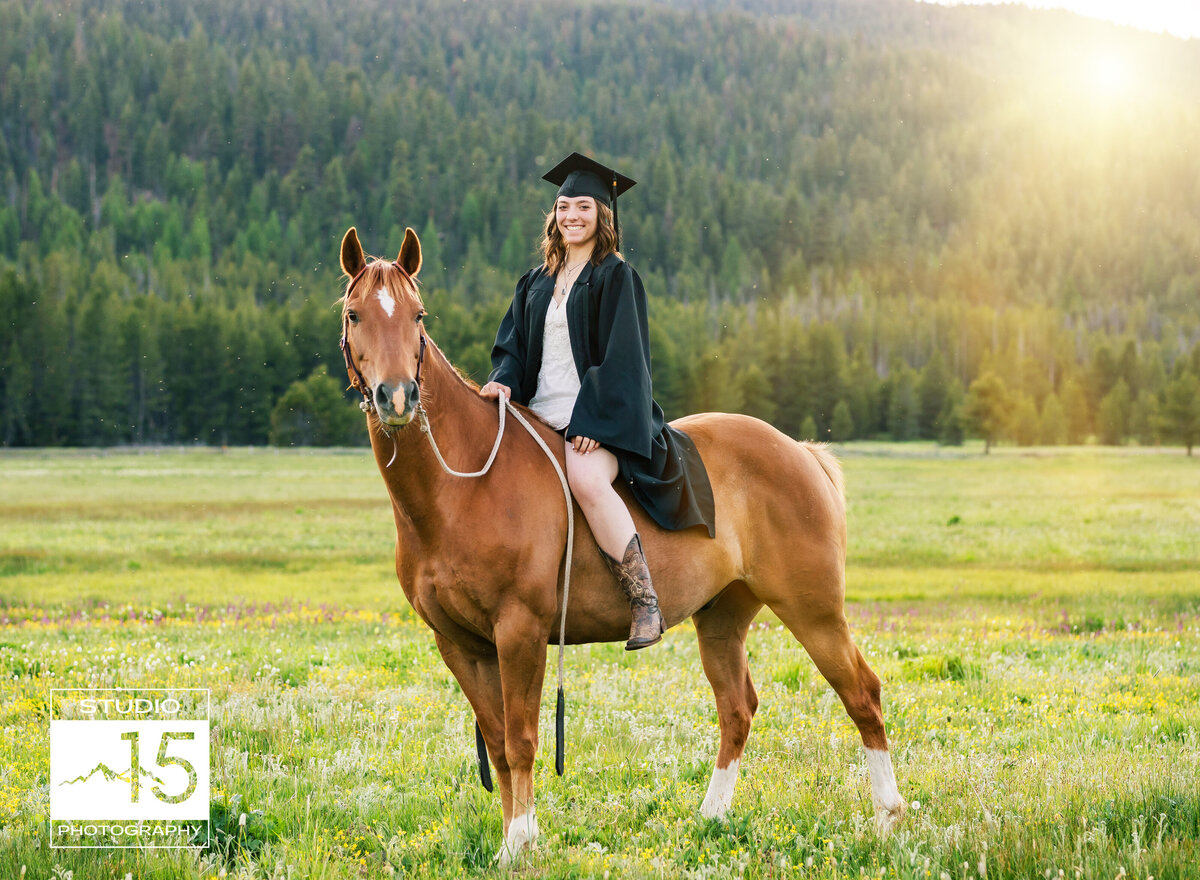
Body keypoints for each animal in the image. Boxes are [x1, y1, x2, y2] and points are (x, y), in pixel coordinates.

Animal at [336, 223, 902, 859]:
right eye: (355, 315)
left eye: (418, 315)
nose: (397, 397)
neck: (465, 486)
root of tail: (798, 451)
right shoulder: (460, 644)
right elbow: (498, 741)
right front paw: (514, 837)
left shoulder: (520, 631)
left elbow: (522, 737)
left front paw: (520, 841)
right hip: (722, 619)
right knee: (737, 710)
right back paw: (710, 817)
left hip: (814, 610)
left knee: (862, 694)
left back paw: (887, 816)